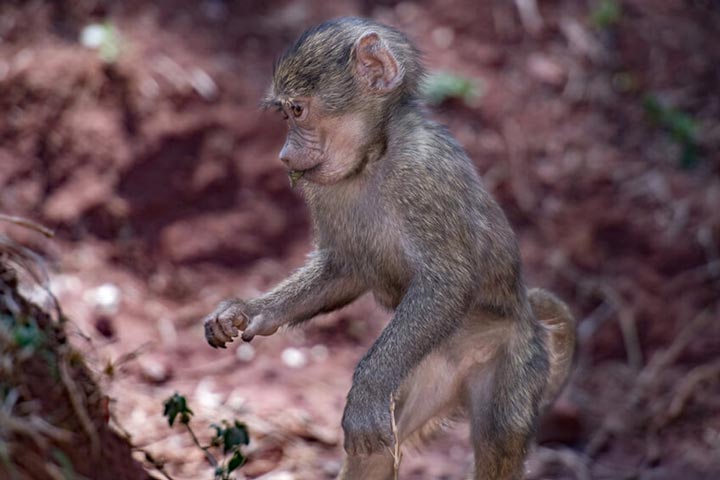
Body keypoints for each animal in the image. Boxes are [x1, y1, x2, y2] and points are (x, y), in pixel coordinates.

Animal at [202, 17, 576, 480]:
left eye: (298, 110)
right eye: (286, 114)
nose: (285, 155)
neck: (373, 158)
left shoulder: (423, 172)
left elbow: (448, 282)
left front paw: (364, 392)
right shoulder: (323, 191)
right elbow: (344, 269)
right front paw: (248, 312)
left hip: (511, 356)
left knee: (499, 438)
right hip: (422, 373)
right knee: (376, 452)